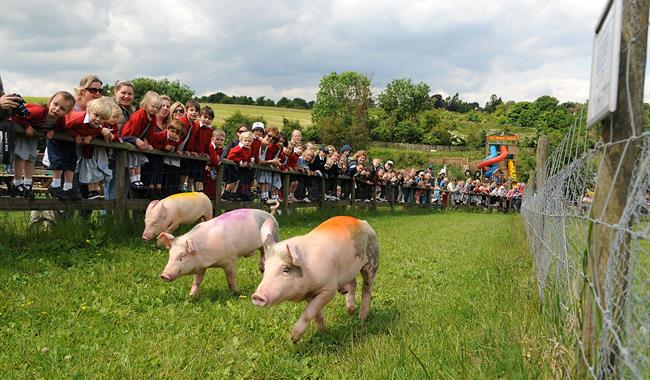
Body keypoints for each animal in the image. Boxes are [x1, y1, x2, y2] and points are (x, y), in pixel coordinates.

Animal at [249, 215, 380, 342]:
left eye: (285, 269)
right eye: (265, 269)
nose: (256, 296)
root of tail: (362, 222)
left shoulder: (329, 289)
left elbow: (309, 312)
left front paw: (293, 338)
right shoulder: (309, 294)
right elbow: (316, 313)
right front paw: (322, 332)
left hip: (372, 261)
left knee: (367, 289)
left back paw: (361, 318)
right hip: (349, 270)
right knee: (353, 283)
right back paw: (350, 311)